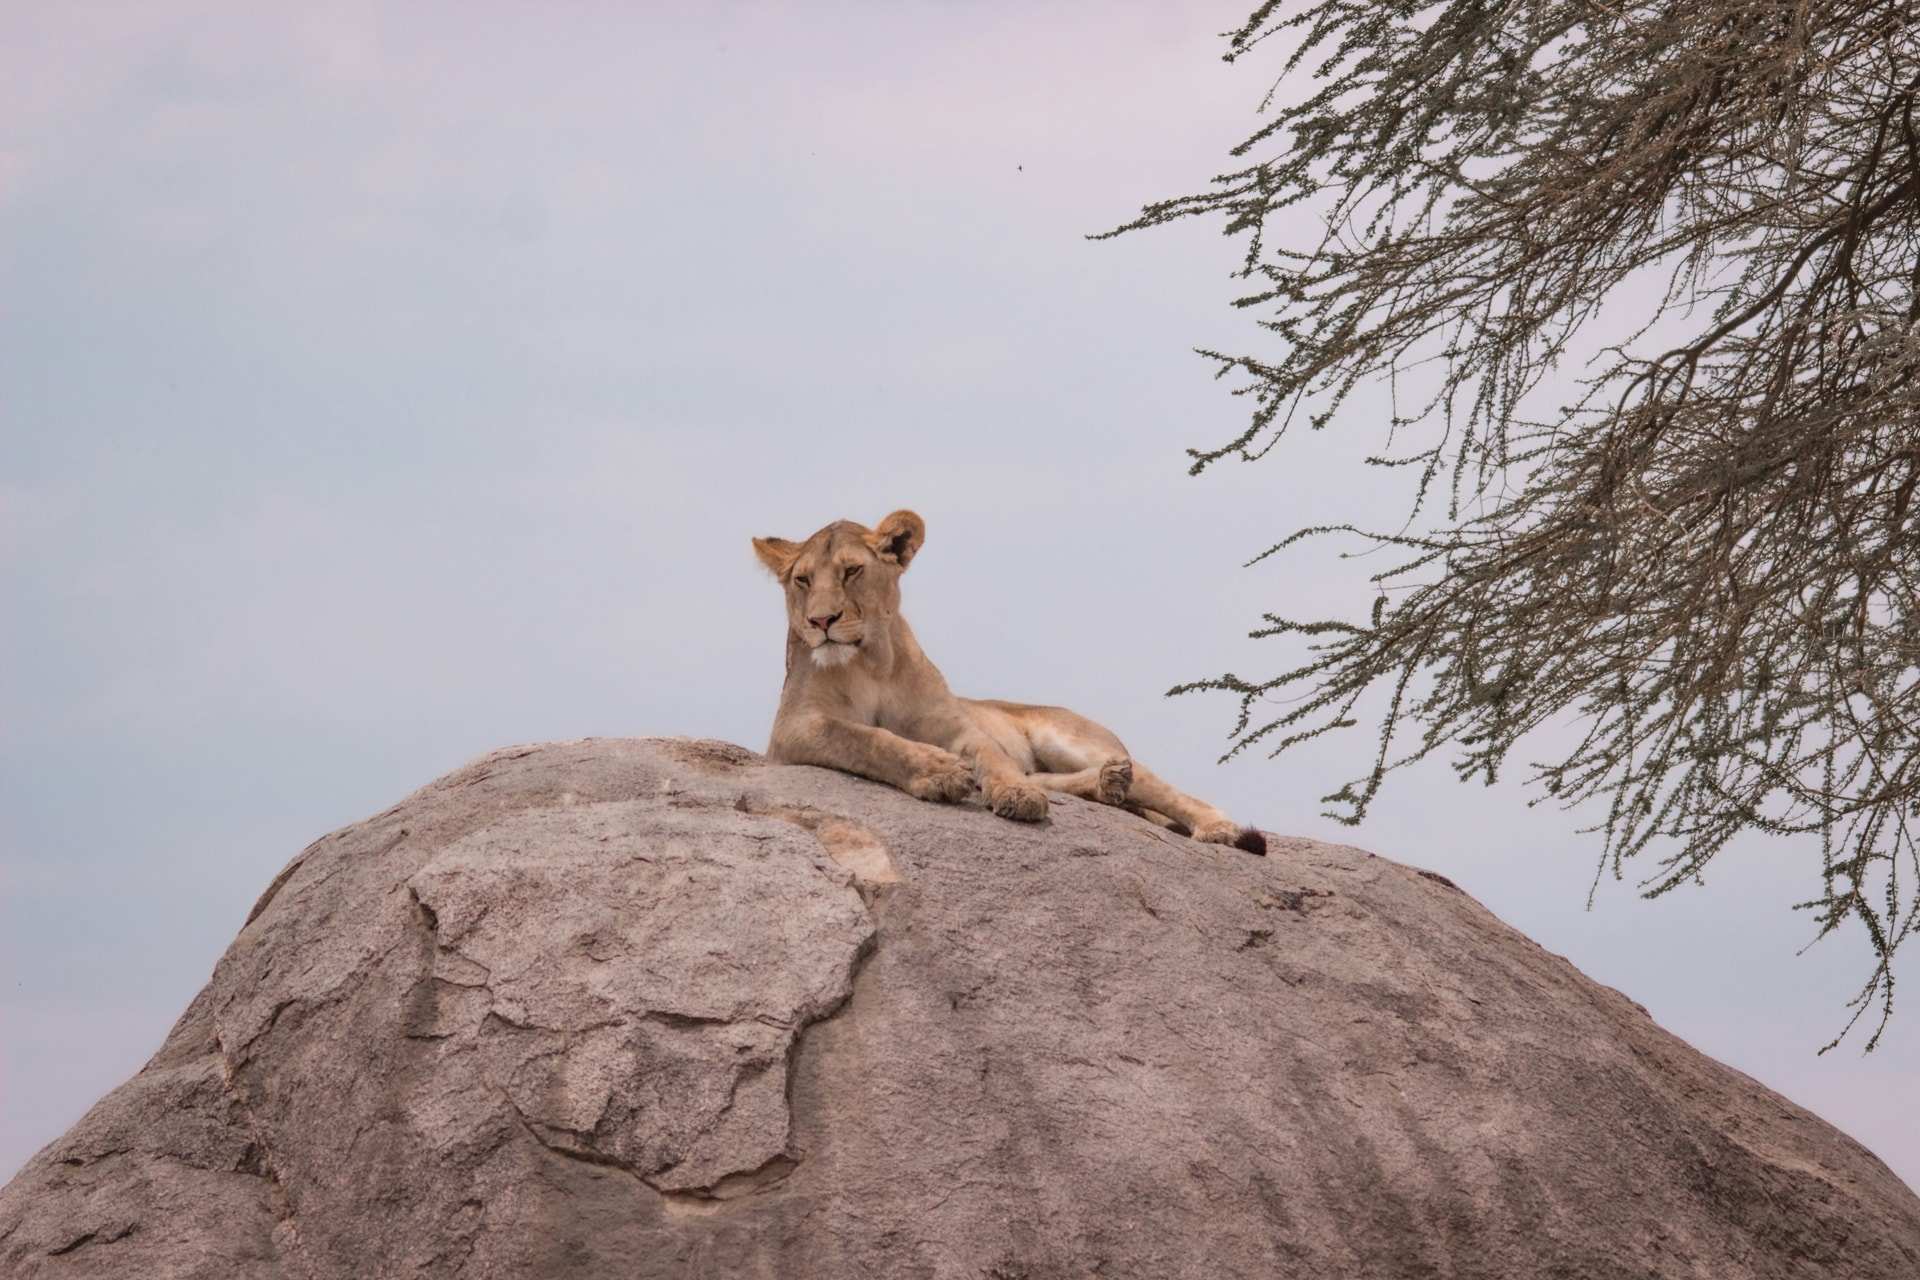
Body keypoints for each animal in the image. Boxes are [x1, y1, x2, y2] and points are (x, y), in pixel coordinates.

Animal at [752, 509, 1267, 855]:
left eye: (852, 570)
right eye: (802, 581)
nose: (821, 621)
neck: (871, 663)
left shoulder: (956, 726)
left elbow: (991, 755)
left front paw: (1013, 794)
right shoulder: (794, 729)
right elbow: (865, 737)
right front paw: (941, 772)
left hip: (1070, 738)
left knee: (1160, 786)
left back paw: (1214, 826)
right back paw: (1109, 783)